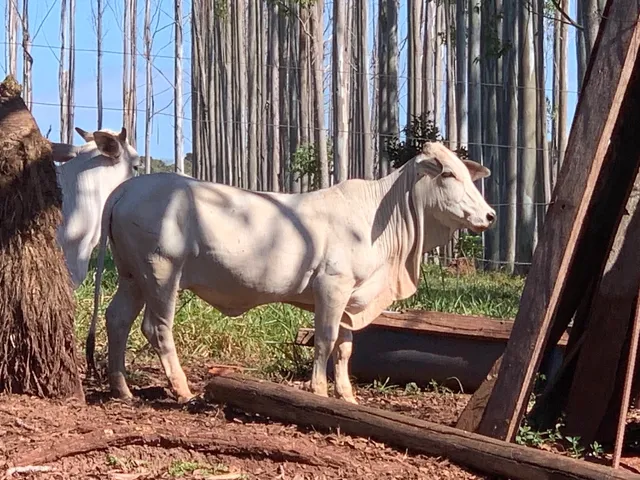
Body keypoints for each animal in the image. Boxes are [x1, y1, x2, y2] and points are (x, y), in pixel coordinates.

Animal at [86, 141, 496, 405]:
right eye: (447, 174)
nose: (490, 215)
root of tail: (126, 189)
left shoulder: (351, 296)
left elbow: (346, 348)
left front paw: (347, 396)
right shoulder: (332, 286)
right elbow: (326, 341)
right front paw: (319, 391)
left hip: (132, 275)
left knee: (117, 319)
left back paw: (122, 389)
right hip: (161, 271)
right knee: (156, 327)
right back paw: (182, 389)